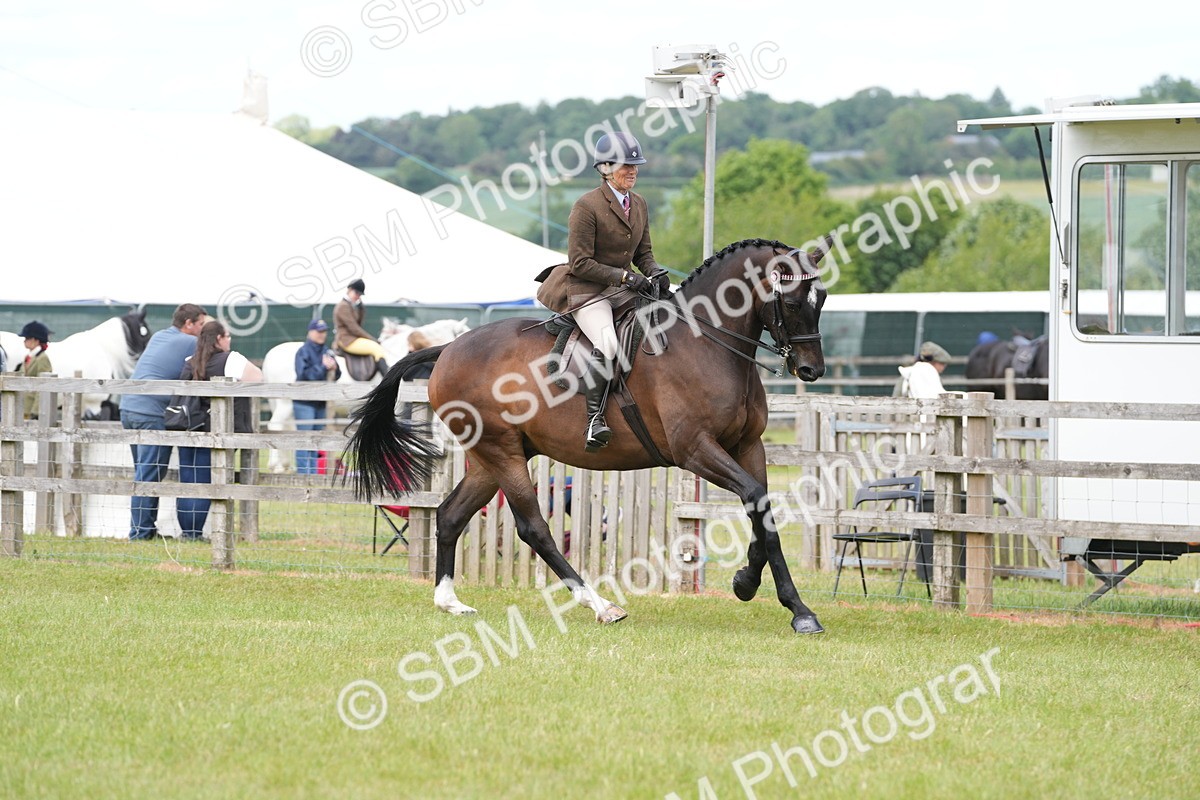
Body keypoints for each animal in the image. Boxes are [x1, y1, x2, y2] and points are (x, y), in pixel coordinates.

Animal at [344, 237, 831, 634]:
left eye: (821, 297)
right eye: (791, 301)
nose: (811, 370)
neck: (707, 341)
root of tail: (448, 349)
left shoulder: (746, 447)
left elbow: (761, 509)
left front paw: (755, 586)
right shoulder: (695, 450)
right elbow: (755, 500)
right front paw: (790, 606)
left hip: (488, 457)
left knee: (449, 515)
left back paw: (450, 602)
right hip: (502, 453)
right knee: (533, 528)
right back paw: (600, 605)